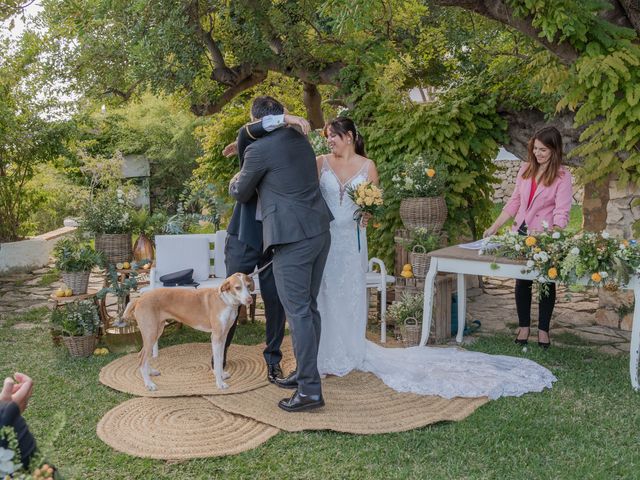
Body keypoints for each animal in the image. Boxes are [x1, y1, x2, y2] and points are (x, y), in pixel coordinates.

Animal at [122, 274, 255, 390]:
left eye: (248, 286)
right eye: (237, 287)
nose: (250, 300)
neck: (225, 301)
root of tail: (139, 300)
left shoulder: (224, 336)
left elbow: (221, 358)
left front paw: (221, 376)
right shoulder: (216, 337)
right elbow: (217, 362)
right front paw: (220, 383)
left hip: (155, 332)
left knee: (142, 355)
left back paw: (150, 372)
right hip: (151, 333)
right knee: (142, 358)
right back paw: (149, 384)